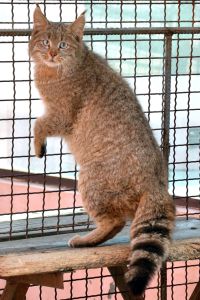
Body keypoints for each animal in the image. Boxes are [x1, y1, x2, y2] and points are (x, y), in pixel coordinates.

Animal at [29, 5, 175, 296]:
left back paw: (86, 240)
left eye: (62, 45)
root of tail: (157, 185)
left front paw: (39, 146)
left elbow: (38, 122)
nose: (52, 54)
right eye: (45, 42)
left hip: (91, 179)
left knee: (114, 221)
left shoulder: (62, 115)